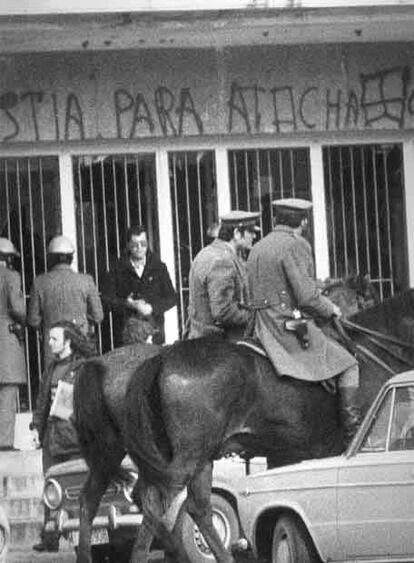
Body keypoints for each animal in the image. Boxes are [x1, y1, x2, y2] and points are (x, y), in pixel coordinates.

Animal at [73, 284, 414, 560]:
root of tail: (158, 360)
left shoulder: (289, 455)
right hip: (184, 459)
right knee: (157, 502)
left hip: (142, 456)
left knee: (112, 502)